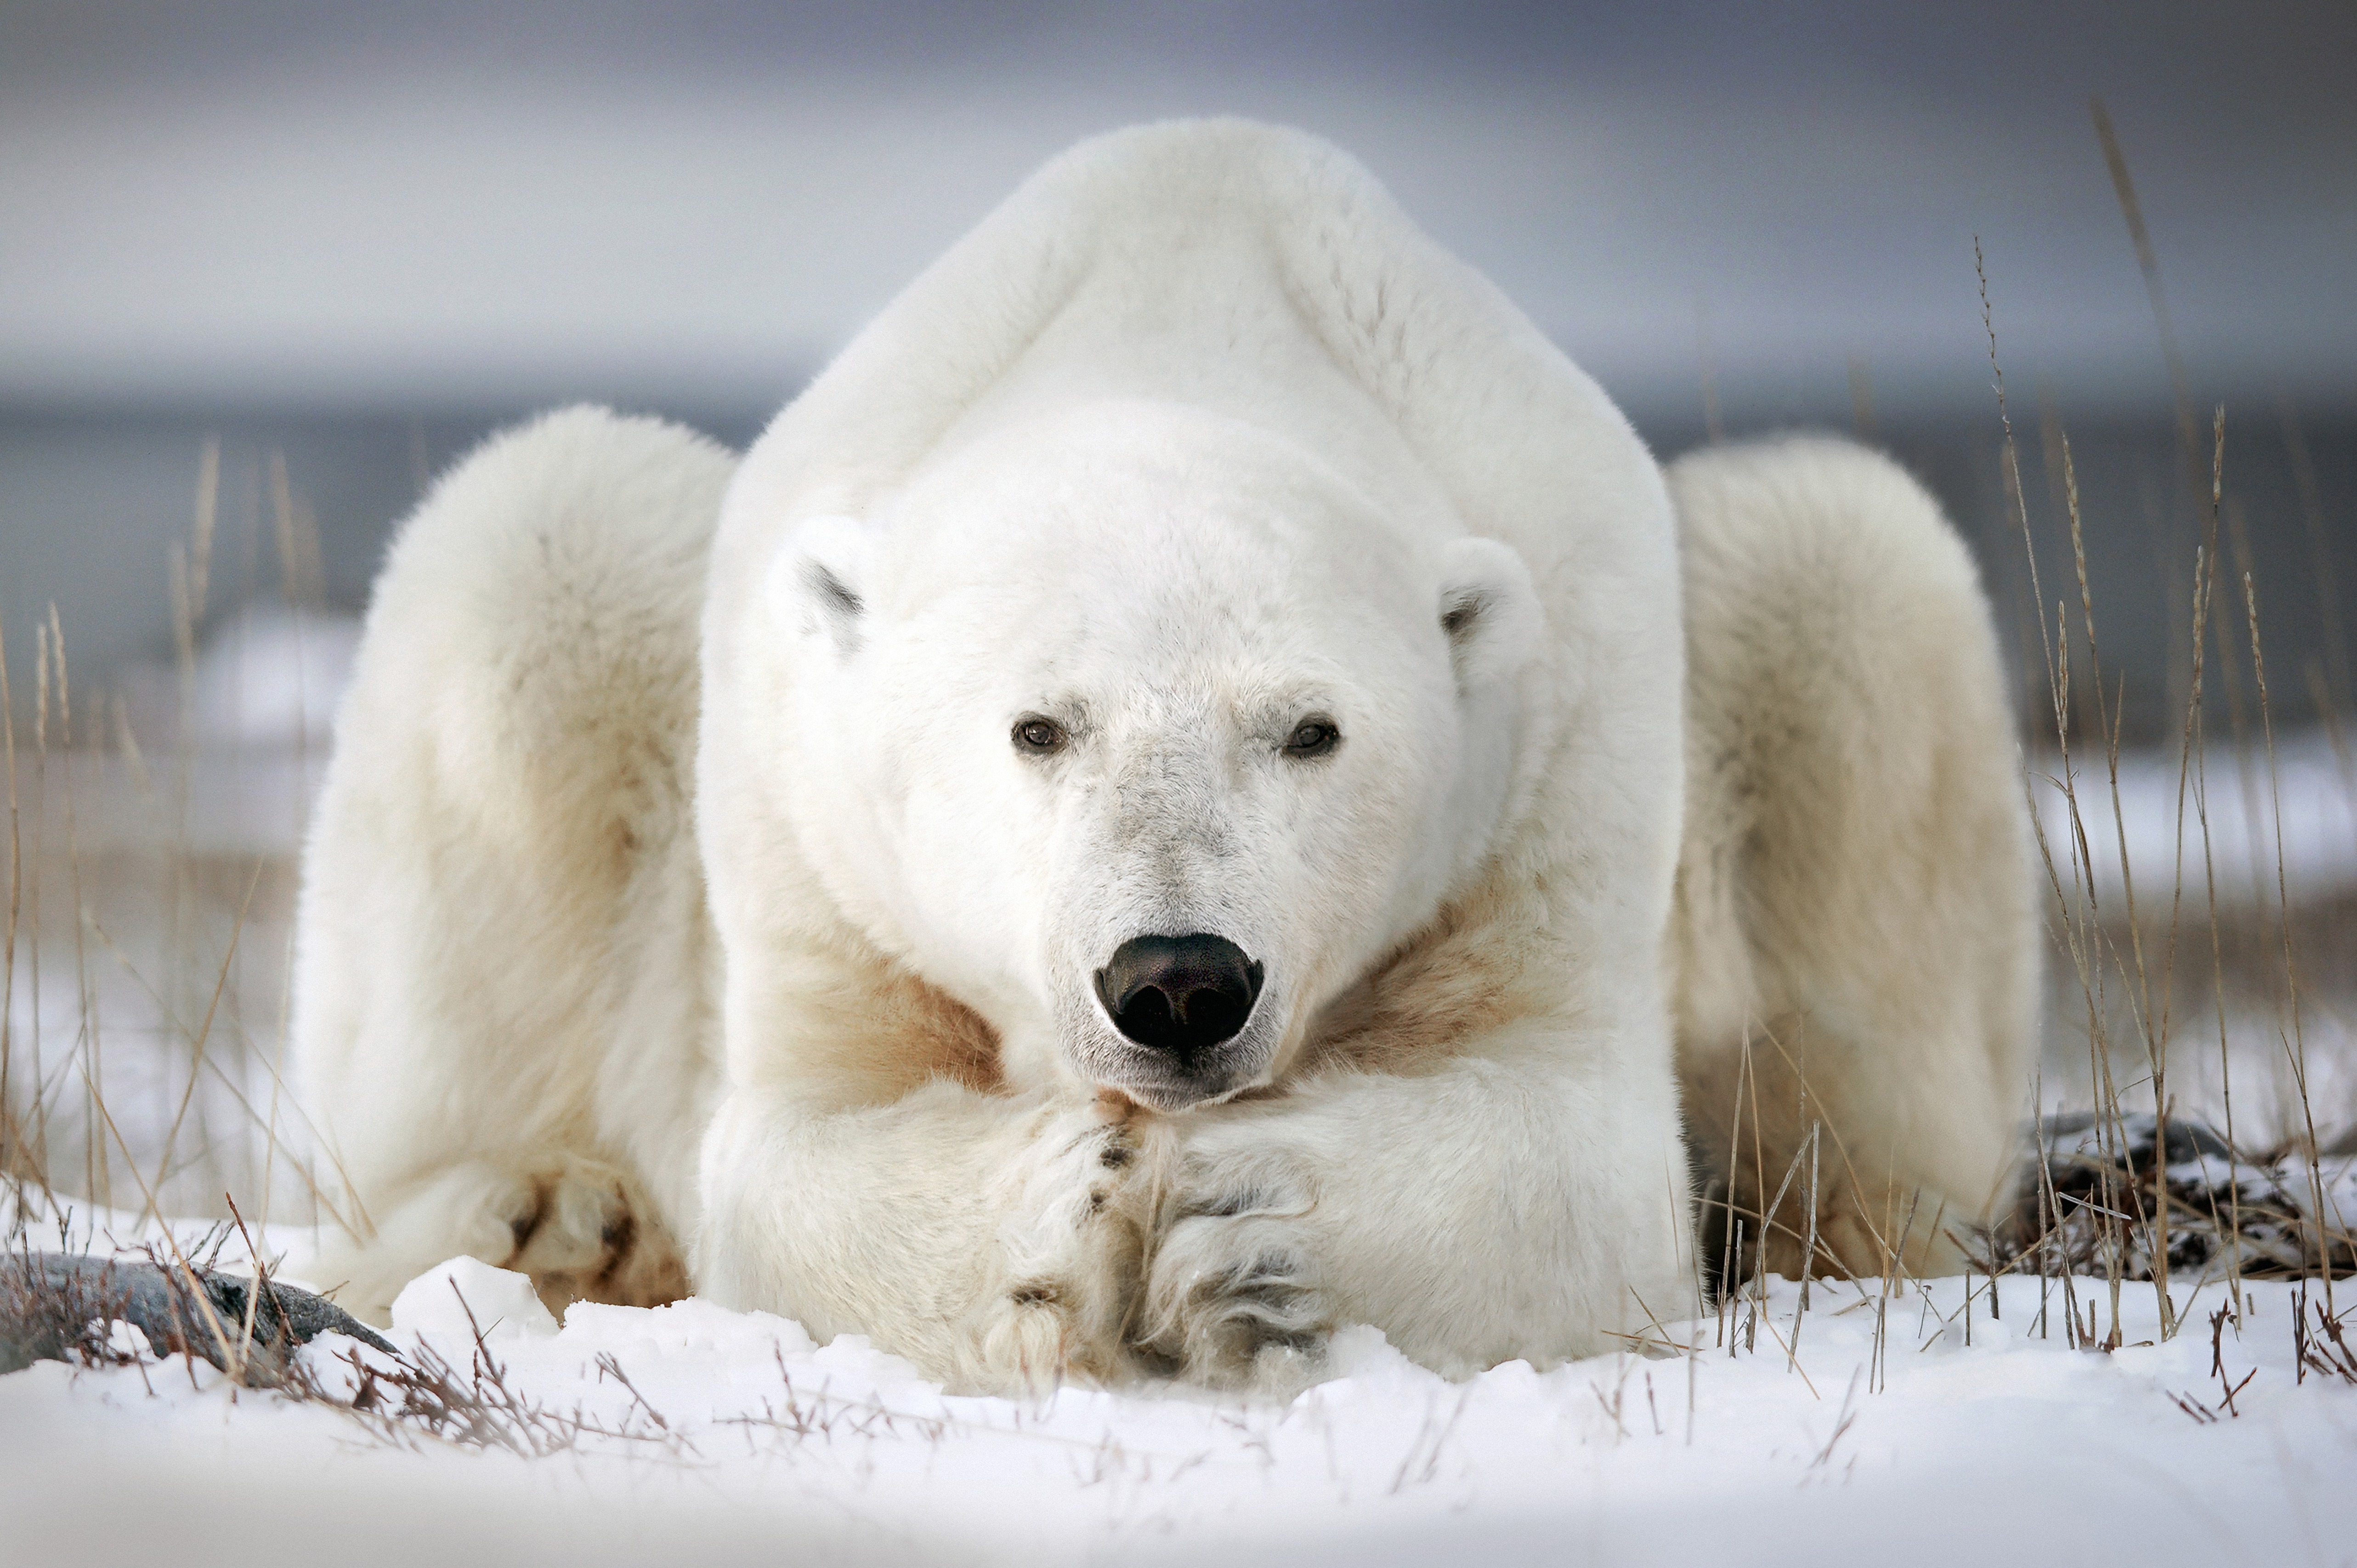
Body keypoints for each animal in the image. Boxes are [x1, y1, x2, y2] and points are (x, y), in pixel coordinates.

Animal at [291, 119, 2037, 1393]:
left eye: (1312, 730)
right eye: (1038, 726)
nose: (1180, 980)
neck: (1185, 307)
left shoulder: (1562, 745)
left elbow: (1577, 1146)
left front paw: (1244, 1225)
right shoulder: (810, 827)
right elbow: (796, 1144)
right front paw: (1065, 1211)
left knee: (1845, 577)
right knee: (537, 545)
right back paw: (546, 1215)